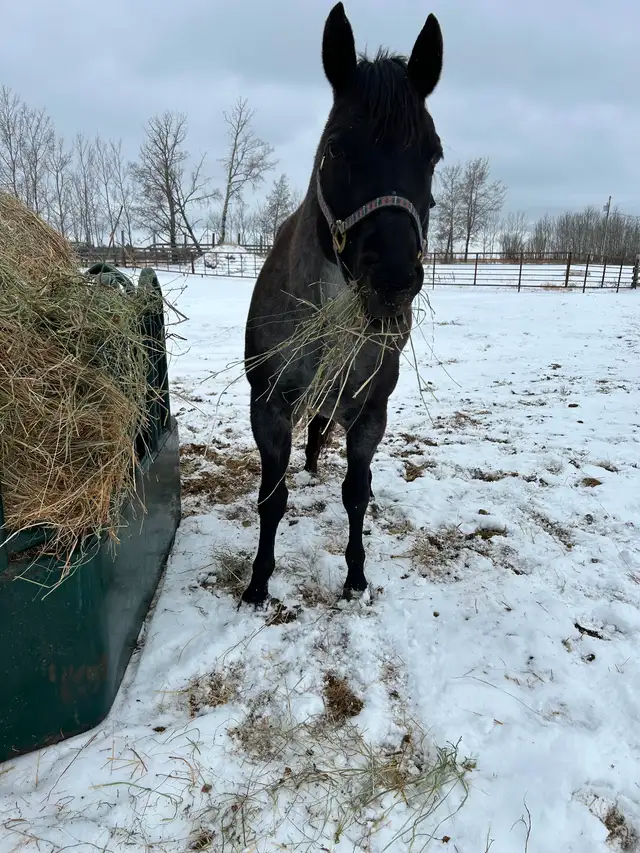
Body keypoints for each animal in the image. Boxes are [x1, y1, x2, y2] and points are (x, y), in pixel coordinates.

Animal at [242, 2, 443, 607]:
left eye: (433, 155)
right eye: (336, 147)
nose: (394, 280)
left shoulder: (370, 412)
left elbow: (355, 493)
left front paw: (356, 576)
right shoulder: (268, 408)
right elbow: (272, 498)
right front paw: (258, 582)